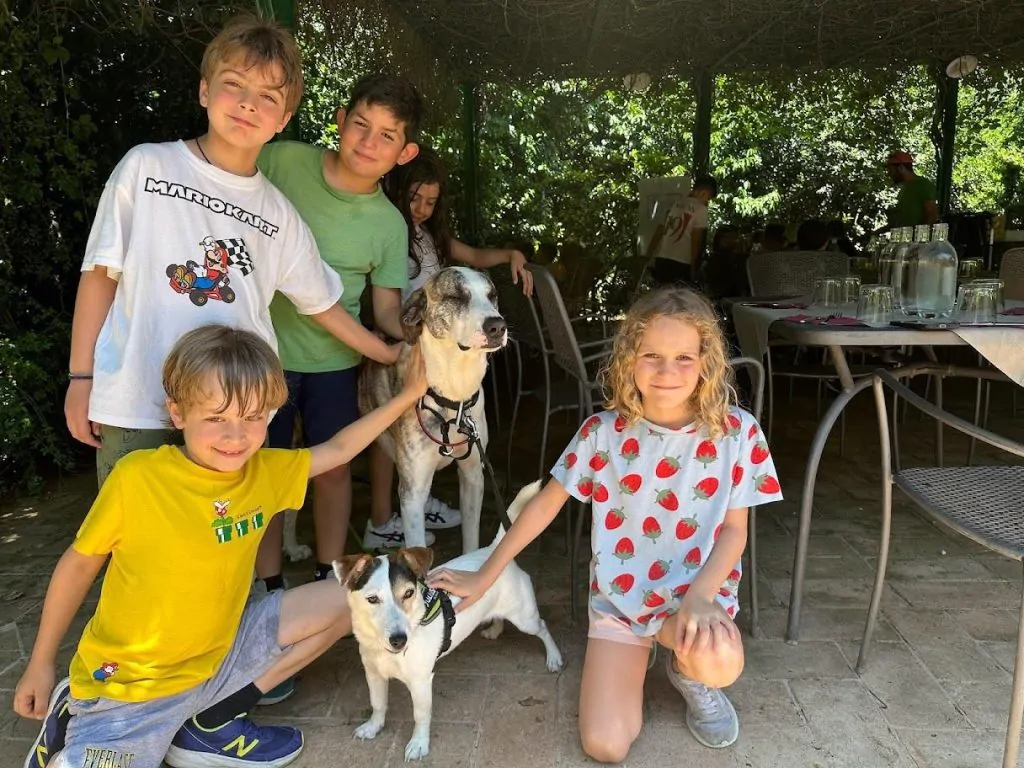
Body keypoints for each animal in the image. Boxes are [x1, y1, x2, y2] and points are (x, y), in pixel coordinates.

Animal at [333, 481, 563, 761]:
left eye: (408, 593)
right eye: (372, 599)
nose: (399, 640)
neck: (384, 650)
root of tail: (494, 549)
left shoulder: (421, 682)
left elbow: (420, 715)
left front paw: (419, 744)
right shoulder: (374, 674)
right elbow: (378, 704)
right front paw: (373, 727)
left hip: (524, 617)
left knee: (542, 627)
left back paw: (554, 657)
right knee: (500, 617)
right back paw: (494, 630)